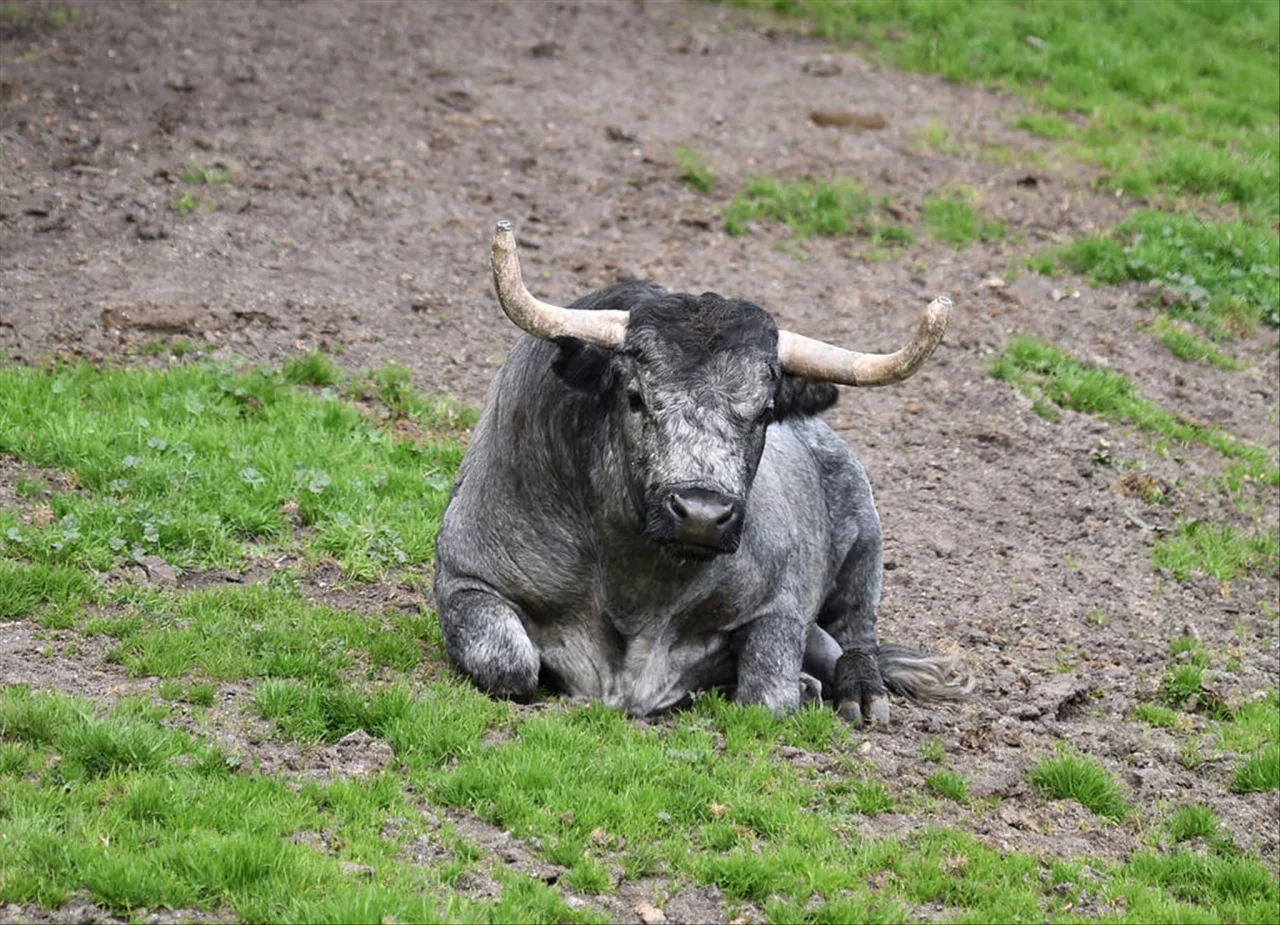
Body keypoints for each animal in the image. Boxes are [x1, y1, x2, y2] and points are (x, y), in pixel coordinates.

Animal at [435, 222, 972, 721]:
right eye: (635, 396)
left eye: (764, 410)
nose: (701, 514)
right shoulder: (464, 580)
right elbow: (509, 665)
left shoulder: (780, 605)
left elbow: (767, 696)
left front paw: (796, 687)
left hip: (865, 547)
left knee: (857, 635)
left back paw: (859, 691)